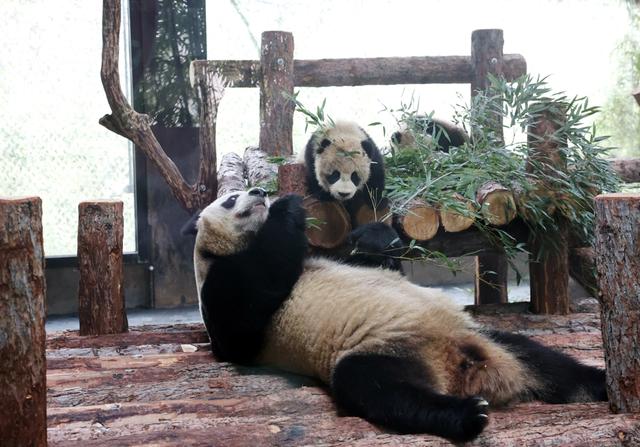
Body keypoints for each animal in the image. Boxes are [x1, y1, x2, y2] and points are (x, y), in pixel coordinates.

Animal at [192, 188, 607, 444]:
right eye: (231, 199)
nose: (260, 193)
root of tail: (461, 366)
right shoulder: (222, 285)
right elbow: (243, 323)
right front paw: (287, 209)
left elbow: (375, 261)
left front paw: (374, 234)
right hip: (384, 351)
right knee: (383, 389)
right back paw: (467, 415)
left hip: (484, 336)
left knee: (543, 360)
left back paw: (598, 383)